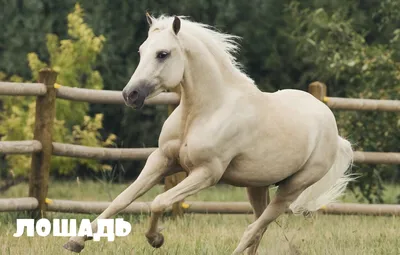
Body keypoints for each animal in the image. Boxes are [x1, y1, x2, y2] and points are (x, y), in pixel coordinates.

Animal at [64, 14, 354, 255]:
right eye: (141, 51)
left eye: (163, 54)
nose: (130, 95)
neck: (204, 111)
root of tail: (333, 129)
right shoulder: (162, 161)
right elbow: (122, 199)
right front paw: (75, 242)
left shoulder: (206, 173)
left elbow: (158, 201)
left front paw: (156, 239)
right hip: (256, 185)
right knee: (258, 228)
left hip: (292, 188)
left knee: (254, 228)